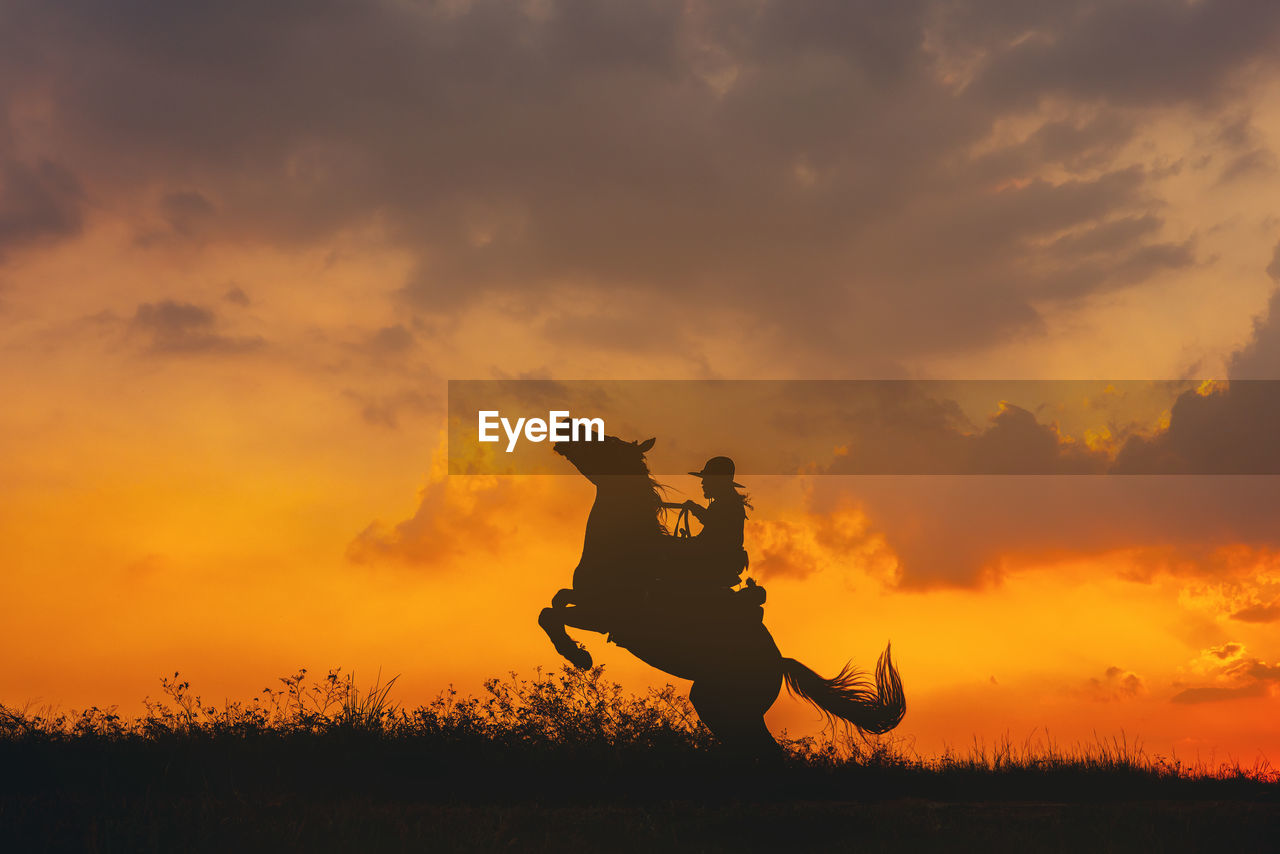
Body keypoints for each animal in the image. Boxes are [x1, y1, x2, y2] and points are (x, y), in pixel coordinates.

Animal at [535, 435, 906, 752]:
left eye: (607, 444)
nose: (565, 430)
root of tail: (778, 662)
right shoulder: (584, 599)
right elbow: (554, 602)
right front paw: (576, 652)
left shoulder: (601, 615)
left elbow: (549, 613)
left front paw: (579, 656)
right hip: (722, 709)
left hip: (727, 710)